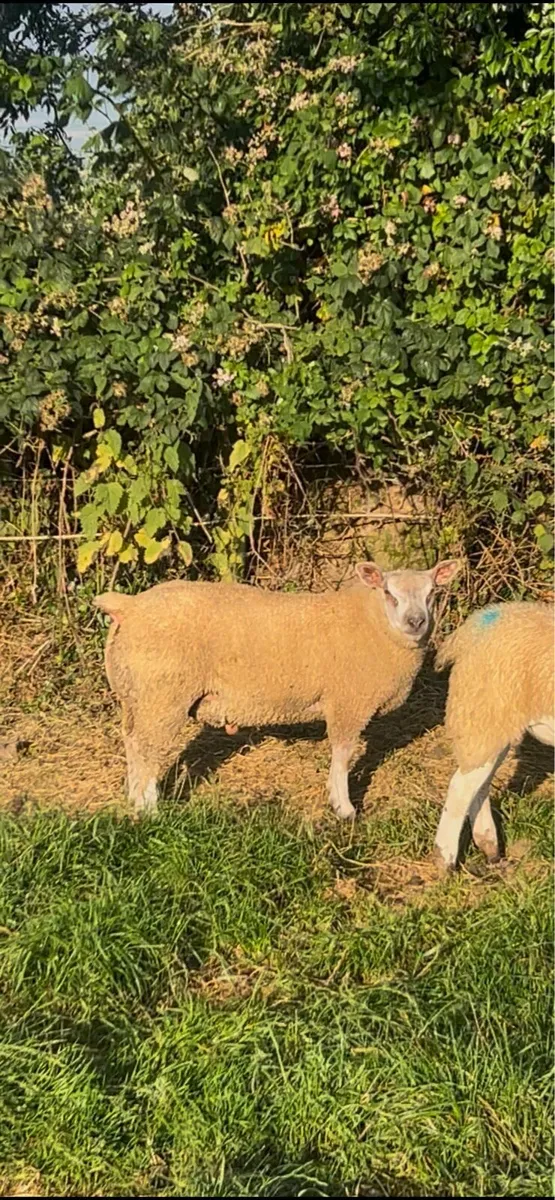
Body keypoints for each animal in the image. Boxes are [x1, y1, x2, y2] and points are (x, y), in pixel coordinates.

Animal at [94, 559, 461, 818]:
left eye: (431, 593)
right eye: (388, 593)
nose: (416, 622)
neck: (375, 622)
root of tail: (129, 606)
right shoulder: (348, 702)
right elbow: (342, 755)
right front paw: (344, 807)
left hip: (134, 694)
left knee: (132, 741)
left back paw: (133, 798)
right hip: (163, 694)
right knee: (148, 749)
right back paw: (149, 809)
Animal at [433, 600, 554, 870]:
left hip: (495, 726)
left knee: (480, 785)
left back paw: (489, 848)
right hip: (482, 718)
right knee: (461, 788)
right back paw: (446, 861)